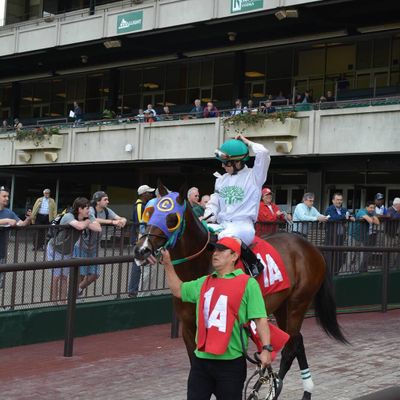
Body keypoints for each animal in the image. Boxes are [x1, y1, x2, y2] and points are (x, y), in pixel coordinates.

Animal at [134, 184, 347, 400]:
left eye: (171, 219)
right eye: (149, 212)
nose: (141, 250)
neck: (199, 266)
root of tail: (312, 247)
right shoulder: (188, 327)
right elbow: (197, 367)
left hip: (298, 302)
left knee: (290, 347)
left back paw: (268, 387)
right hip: (282, 306)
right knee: (296, 340)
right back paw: (303, 390)